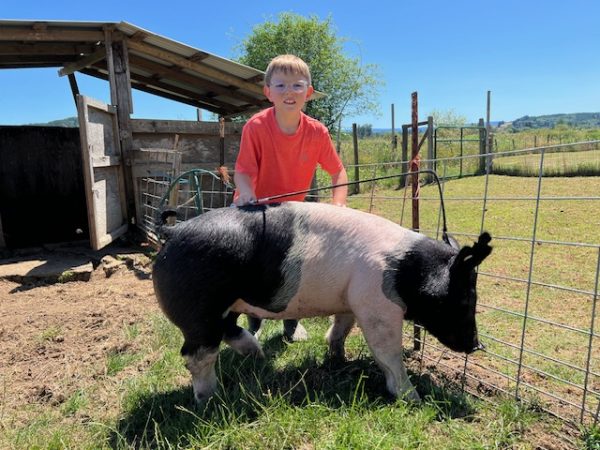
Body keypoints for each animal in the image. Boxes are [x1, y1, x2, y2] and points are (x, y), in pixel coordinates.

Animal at [154, 202, 492, 402]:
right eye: (465, 299)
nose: (477, 345)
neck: (408, 271)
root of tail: (174, 229)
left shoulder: (350, 300)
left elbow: (341, 329)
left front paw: (338, 359)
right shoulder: (377, 306)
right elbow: (388, 353)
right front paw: (412, 398)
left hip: (222, 309)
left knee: (229, 332)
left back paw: (258, 356)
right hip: (199, 310)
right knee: (196, 356)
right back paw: (210, 399)